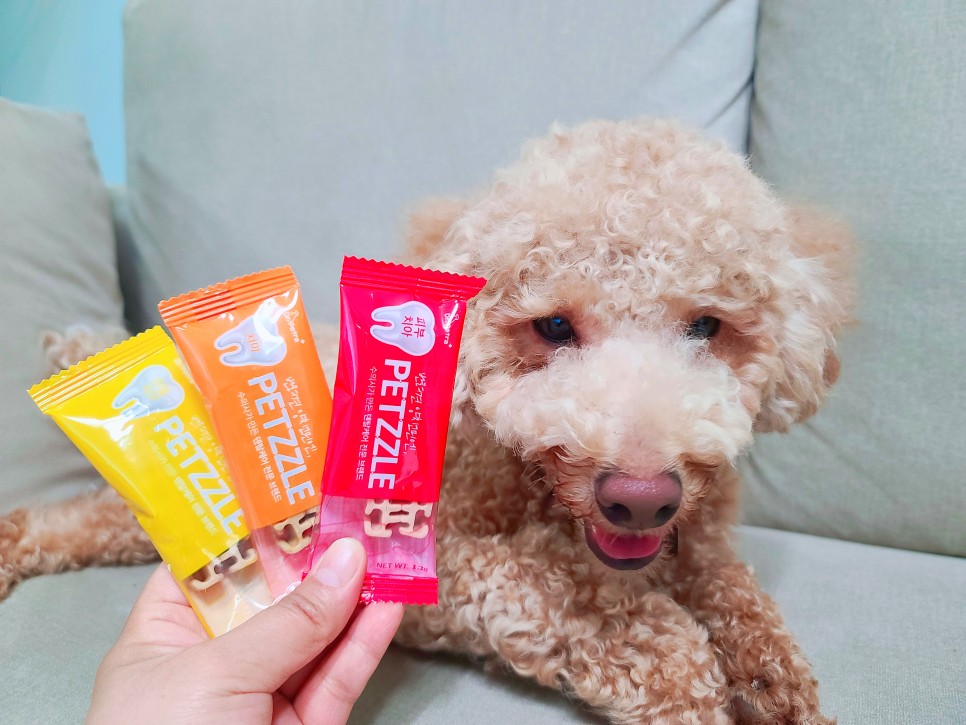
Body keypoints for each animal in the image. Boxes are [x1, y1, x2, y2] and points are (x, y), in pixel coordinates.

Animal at [1, 119, 852, 723]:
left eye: (708, 326)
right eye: (552, 327)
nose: (639, 497)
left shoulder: (696, 539)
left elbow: (727, 580)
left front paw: (772, 672)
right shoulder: (441, 564)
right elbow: (555, 591)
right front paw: (680, 663)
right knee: (84, 519)